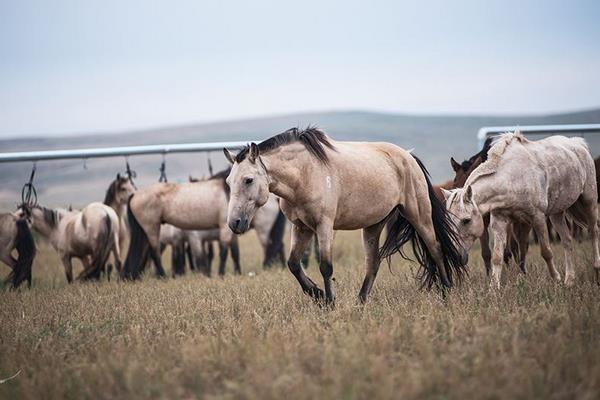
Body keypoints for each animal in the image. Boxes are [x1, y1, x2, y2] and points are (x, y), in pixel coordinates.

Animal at [224, 126, 464, 304]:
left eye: (248, 180)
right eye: (228, 181)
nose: (234, 223)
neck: (305, 174)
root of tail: (409, 156)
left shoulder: (324, 226)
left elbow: (325, 266)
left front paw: (329, 302)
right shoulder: (301, 227)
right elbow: (294, 264)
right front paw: (317, 294)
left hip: (419, 215)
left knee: (435, 249)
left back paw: (446, 292)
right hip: (374, 225)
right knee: (373, 262)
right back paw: (361, 302)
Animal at [446, 131, 600, 288]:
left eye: (466, 220)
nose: (456, 257)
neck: (511, 178)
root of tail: (579, 144)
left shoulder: (536, 218)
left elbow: (546, 252)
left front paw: (556, 279)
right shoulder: (500, 220)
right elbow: (497, 256)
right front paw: (494, 287)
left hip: (589, 202)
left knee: (593, 231)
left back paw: (596, 271)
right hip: (556, 214)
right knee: (567, 240)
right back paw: (569, 280)